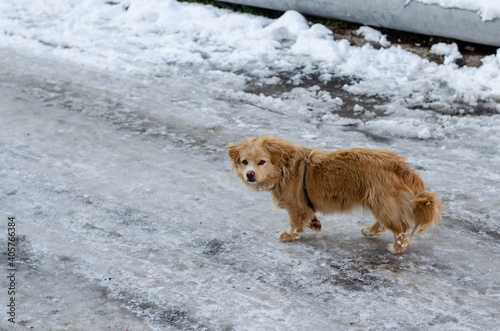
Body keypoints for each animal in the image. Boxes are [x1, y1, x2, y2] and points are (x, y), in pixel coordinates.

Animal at [229, 136, 444, 255]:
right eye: (245, 161)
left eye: (262, 162)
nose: (250, 175)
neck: (284, 166)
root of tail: (403, 167)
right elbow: (308, 215)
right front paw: (314, 223)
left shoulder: (294, 205)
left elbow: (294, 221)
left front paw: (290, 235)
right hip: (378, 201)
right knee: (385, 222)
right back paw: (370, 230)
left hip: (381, 200)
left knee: (400, 229)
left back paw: (396, 248)